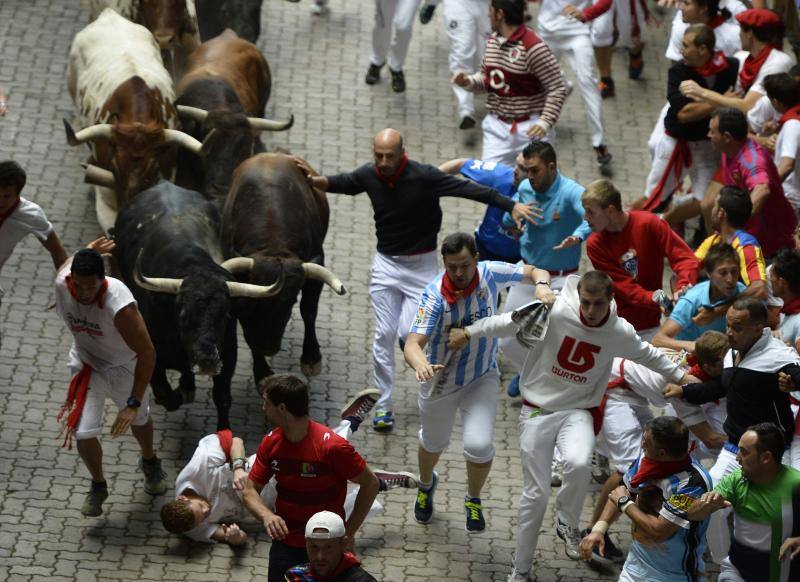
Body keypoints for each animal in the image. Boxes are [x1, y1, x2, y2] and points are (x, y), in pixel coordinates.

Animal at [114, 180, 282, 432]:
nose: (207, 360)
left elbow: (222, 397)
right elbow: (165, 395)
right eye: (182, 315)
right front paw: (182, 392)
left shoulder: (228, 356)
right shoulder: (150, 357)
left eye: (225, 316)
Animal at [220, 153, 346, 386]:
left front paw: (311, 358)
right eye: (250, 304)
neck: (273, 244)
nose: (266, 347)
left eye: (290, 302)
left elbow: (309, 310)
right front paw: (261, 372)